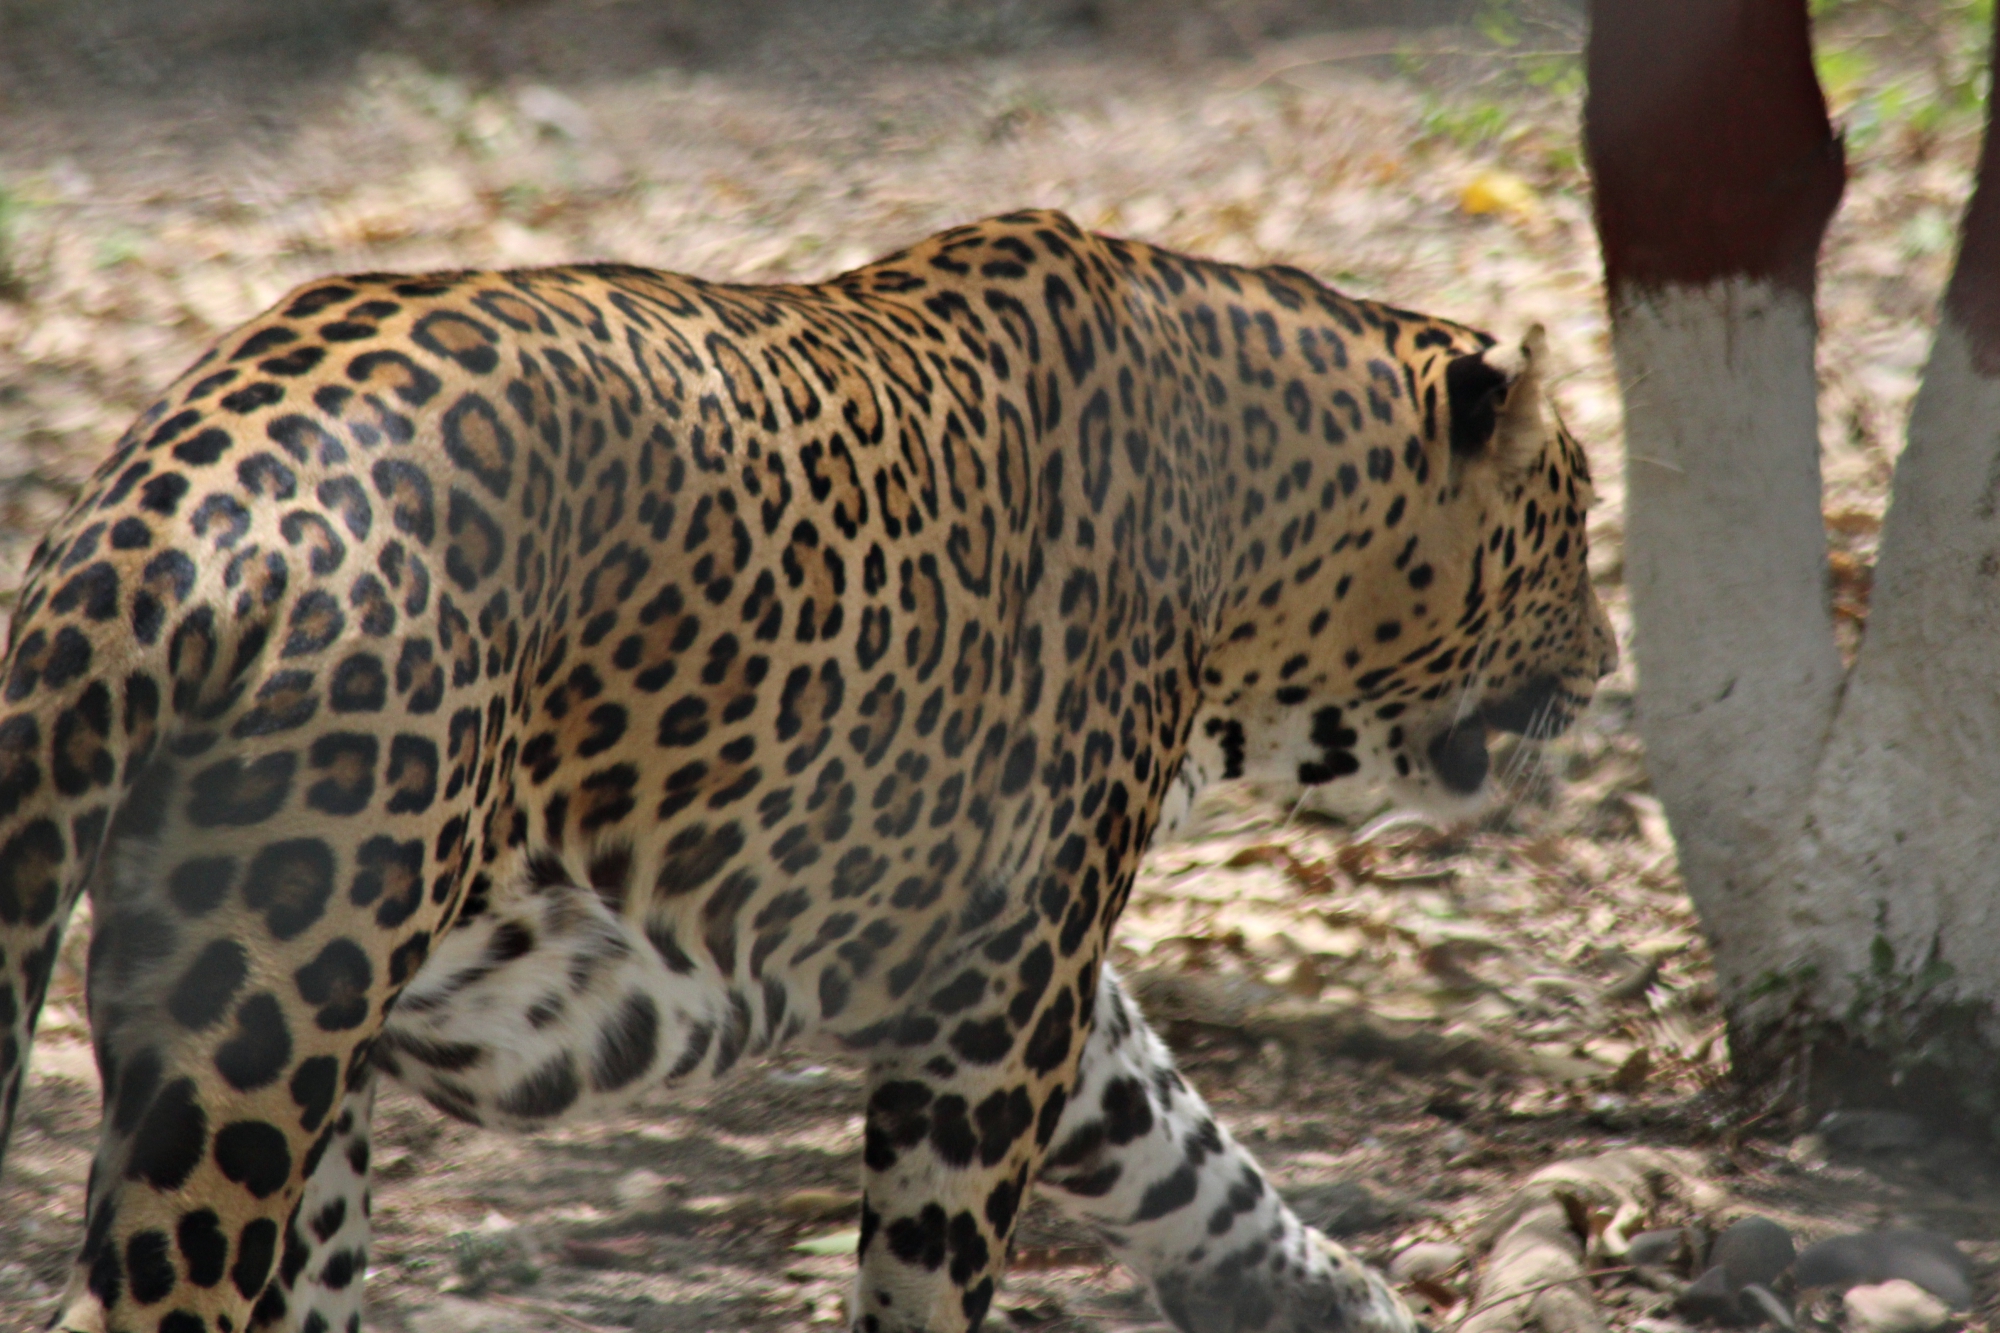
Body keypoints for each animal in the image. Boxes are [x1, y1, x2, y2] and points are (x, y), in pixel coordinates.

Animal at [0, 208, 1615, 1333]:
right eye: (1574, 514)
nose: (1608, 659)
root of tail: (146, 515)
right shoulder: (1001, 997)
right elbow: (936, 1268)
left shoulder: (999, 962)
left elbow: (1177, 1141)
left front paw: (1321, 1292)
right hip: (254, 1043)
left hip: (272, 1057)